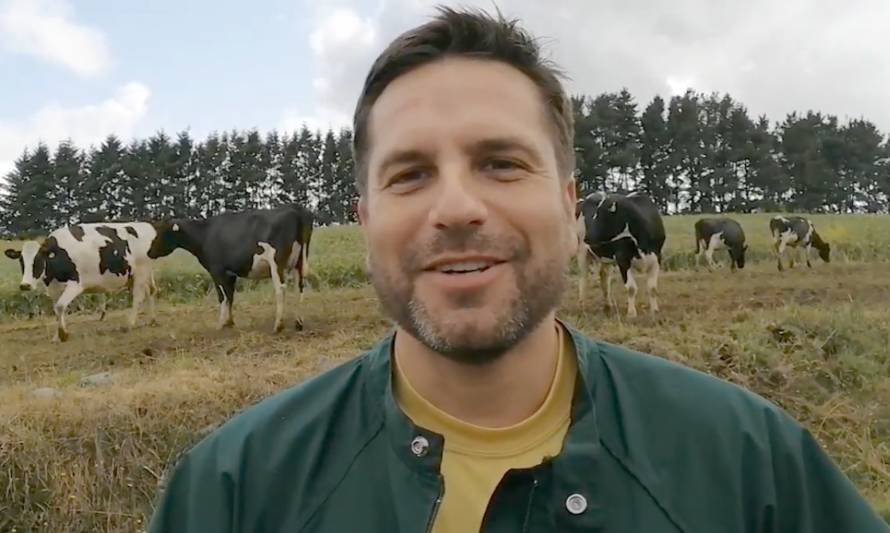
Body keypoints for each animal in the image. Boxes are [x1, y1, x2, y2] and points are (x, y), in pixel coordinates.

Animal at [3, 221, 160, 340]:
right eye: (21, 261)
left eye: (38, 260)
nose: (25, 285)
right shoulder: (54, 289)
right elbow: (56, 309)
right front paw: (56, 336)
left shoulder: (75, 285)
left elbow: (60, 306)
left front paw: (63, 334)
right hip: (138, 275)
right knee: (150, 290)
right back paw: (152, 320)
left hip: (141, 272)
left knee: (138, 297)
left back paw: (129, 325)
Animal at [146, 205, 312, 332]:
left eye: (160, 233)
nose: (149, 252)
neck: (205, 234)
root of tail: (295, 209)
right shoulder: (230, 274)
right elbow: (231, 296)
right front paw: (229, 322)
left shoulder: (216, 270)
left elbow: (222, 297)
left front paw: (220, 324)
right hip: (299, 262)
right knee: (300, 287)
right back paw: (299, 322)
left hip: (276, 262)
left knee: (281, 289)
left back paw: (278, 325)